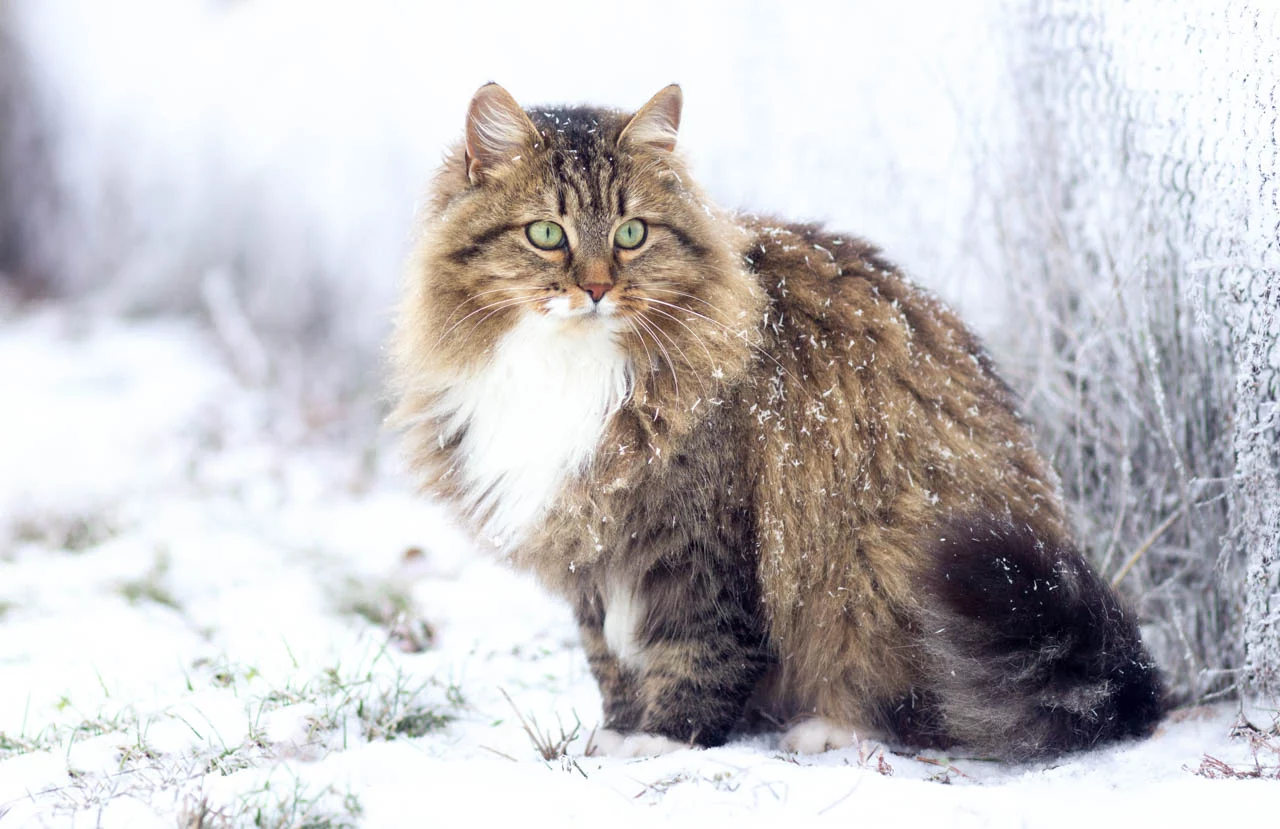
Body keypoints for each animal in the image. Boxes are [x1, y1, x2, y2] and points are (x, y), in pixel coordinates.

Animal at [386, 82, 1162, 757]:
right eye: (547, 233)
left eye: (632, 232)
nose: (598, 287)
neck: (568, 366)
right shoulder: (592, 545)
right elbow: (609, 656)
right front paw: (617, 733)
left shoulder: (700, 536)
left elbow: (698, 651)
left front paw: (662, 742)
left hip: (888, 557)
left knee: (916, 707)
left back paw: (825, 729)